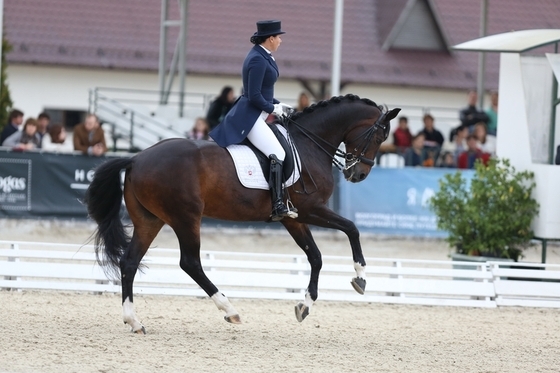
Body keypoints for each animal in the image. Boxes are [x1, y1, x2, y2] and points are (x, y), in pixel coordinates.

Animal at [83, 93, 400, 332]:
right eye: (379, 136)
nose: (358, 174)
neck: (309, 145)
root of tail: (136, 158)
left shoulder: (292, 217)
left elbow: (315, 257)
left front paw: (304, 305)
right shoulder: (311, 209)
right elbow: (351, 228)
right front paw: (360, 278)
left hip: (150, 220)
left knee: (130, 262)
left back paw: (134, 321)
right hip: (186, 217)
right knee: (190, 263)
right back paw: (229, 309)